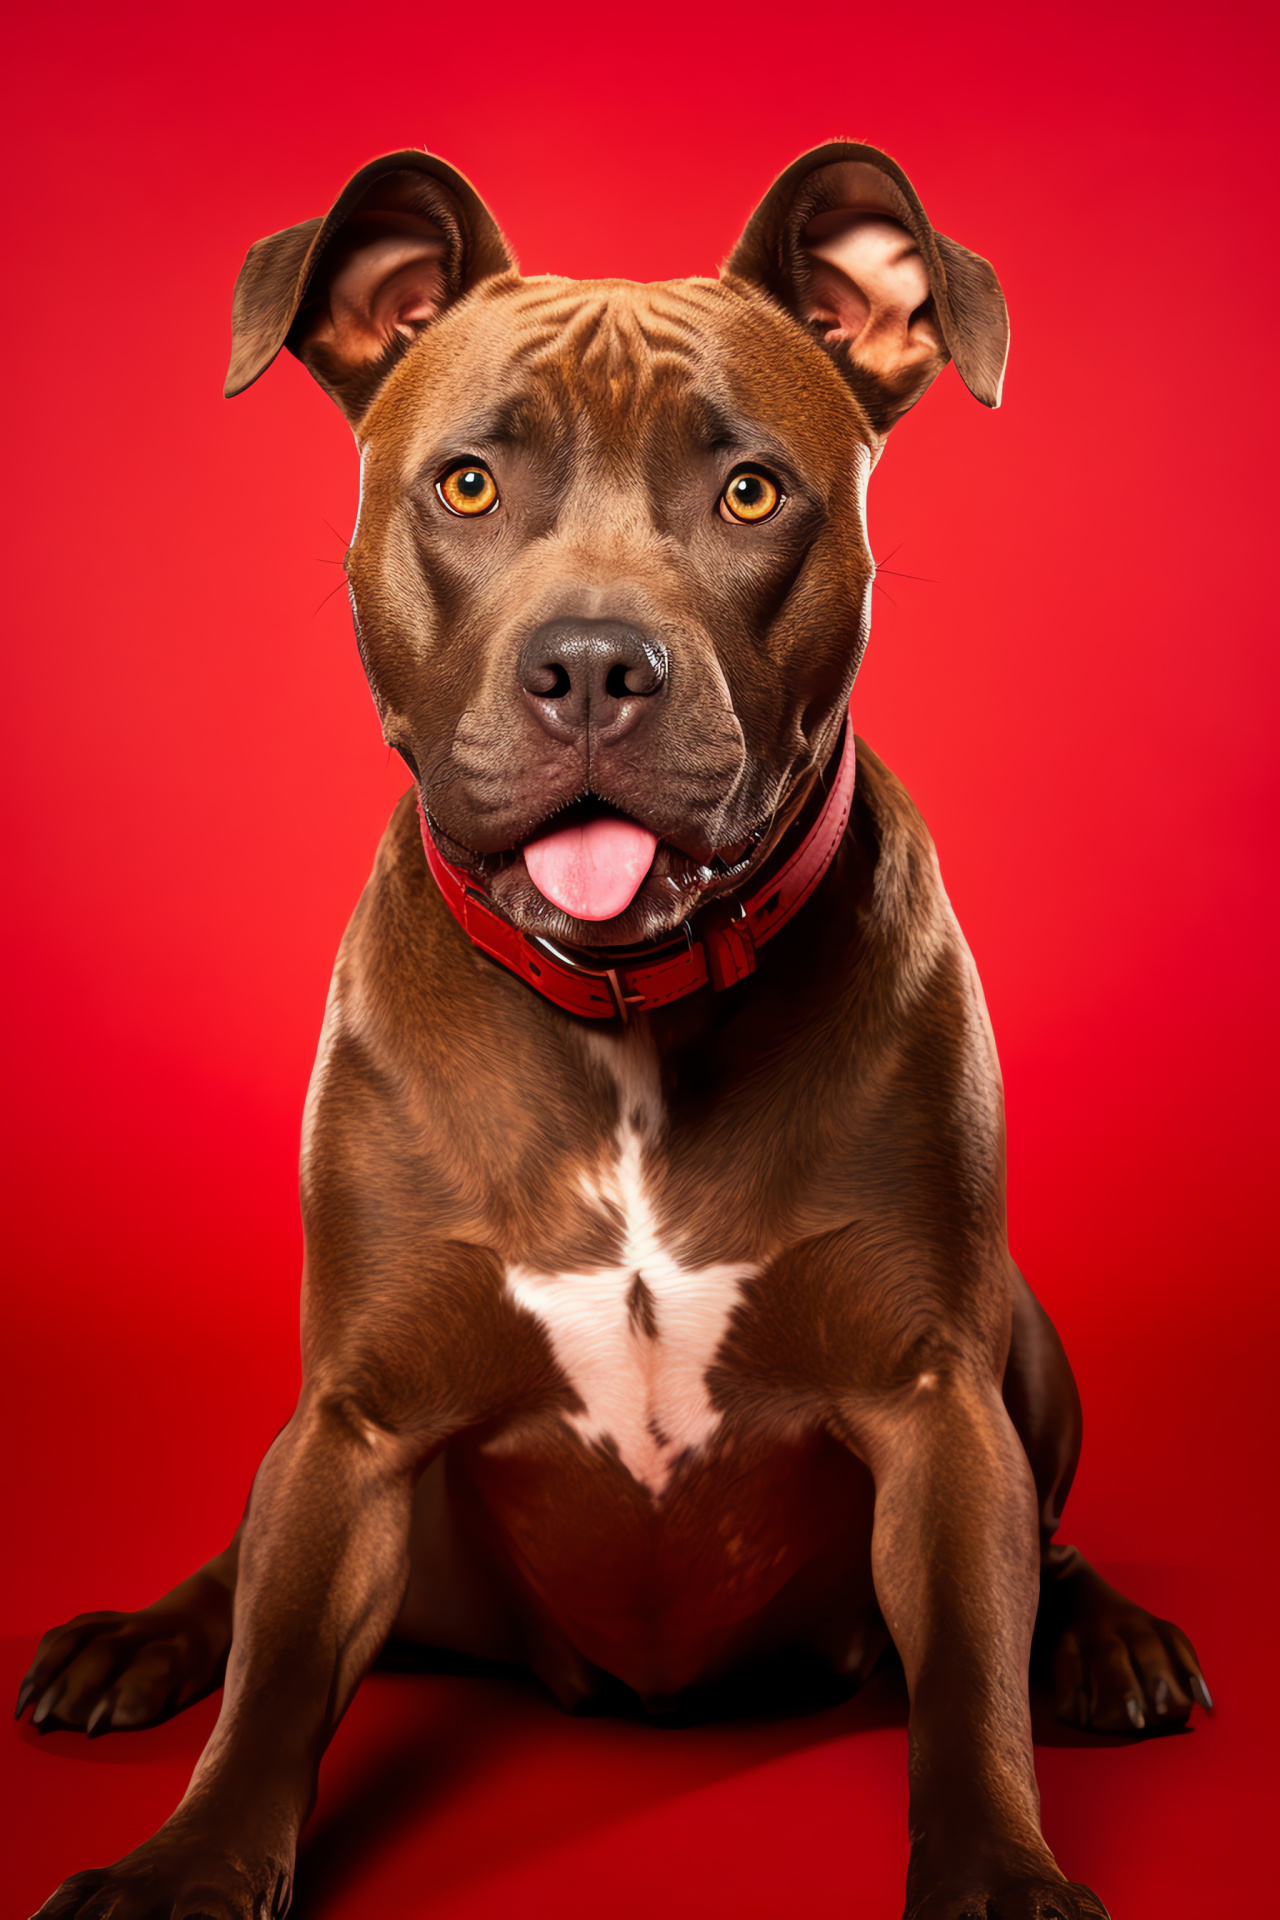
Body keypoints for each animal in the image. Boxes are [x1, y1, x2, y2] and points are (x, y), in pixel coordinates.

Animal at [14, 139, 1205, 1920]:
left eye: (751, 493)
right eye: (466, 487)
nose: (591, 665)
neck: (628, 1011)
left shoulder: (937, 1401)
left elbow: (969, 1679)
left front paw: (1000, 1867)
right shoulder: (355, 1424)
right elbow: (276, 1677)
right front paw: (184, 1863)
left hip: (1029, 1342)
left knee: (1044, 1552)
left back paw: (1108, 1639)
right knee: (242, 1569)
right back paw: (138, 1640)